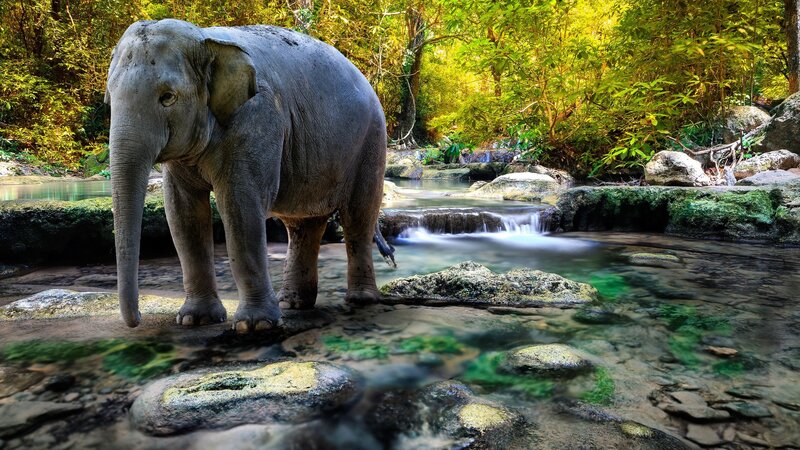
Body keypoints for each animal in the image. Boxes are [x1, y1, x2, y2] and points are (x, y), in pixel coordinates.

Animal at [105, 19, 391, 332]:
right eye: (110, 98)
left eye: (167, 97)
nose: (136, 321)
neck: (205, 39)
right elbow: (183, 214)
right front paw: (194, 319)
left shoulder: (257, 119)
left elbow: (239, 205)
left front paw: (254, 326)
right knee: (303, 225)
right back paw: (292, 303)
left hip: (371, 141)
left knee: (358, 217)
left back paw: (361, 300)